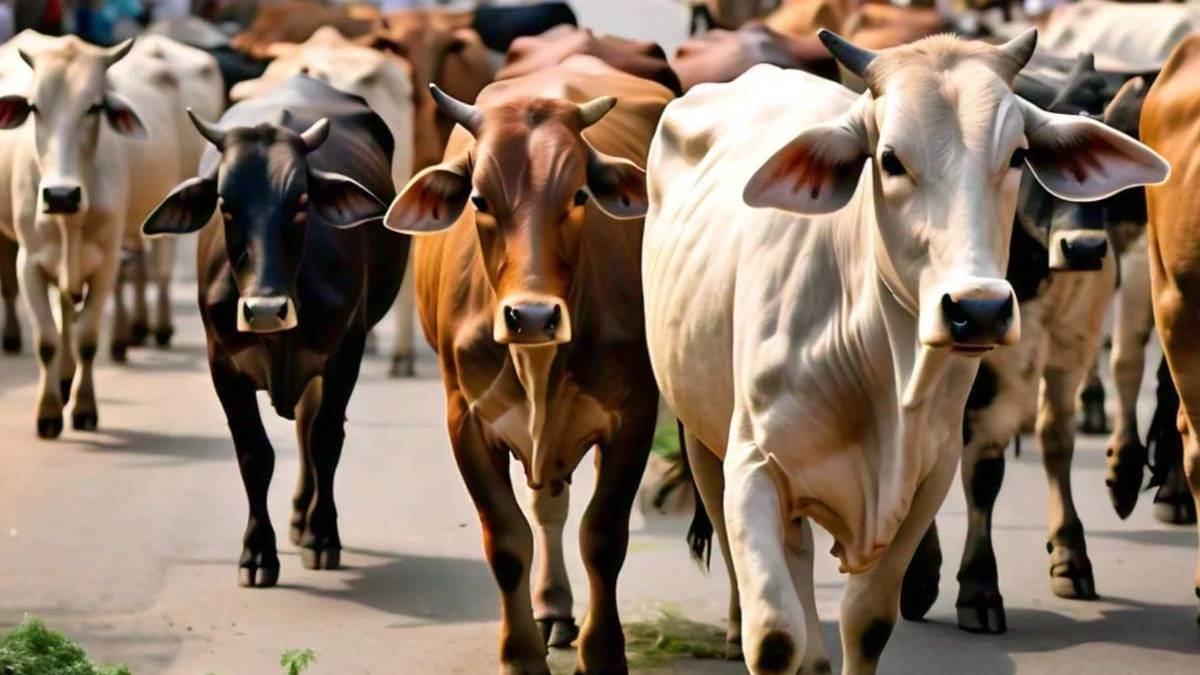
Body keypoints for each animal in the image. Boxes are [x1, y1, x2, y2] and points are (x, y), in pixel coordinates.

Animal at [0, 33, 184, 438]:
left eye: (94, 107)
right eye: (34, 106)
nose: (60, 195)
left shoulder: (107, 262)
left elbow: (87, 338)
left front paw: (84, 409)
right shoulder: (29, 262)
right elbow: (47, 339)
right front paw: (48, 413)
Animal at [140, 74, 406, 587]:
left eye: (301, 201)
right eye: (225, 204)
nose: (265, 310)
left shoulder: (347, 349)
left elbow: (325, 438)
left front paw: (323, 536)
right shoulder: (221, 361)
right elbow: (255, 454)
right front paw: (258, 553)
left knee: (309, 427)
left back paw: (307, 521)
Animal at [384, 55, 670, 673]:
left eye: (580, 195)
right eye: (479, 200)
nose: (532, 316)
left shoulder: (634, 417)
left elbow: (603, 537)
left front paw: (604, 654)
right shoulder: (465, 420)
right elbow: (508, 540)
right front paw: (519, 654)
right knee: (546, 508)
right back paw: (553, 607)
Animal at [642, 30, 1168, 673]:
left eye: (1018, 156)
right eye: (890, 159)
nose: (979, 309)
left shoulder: (928, 476)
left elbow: (868, 622)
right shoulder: (754, 466)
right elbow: (774, 638)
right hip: (700, 434)